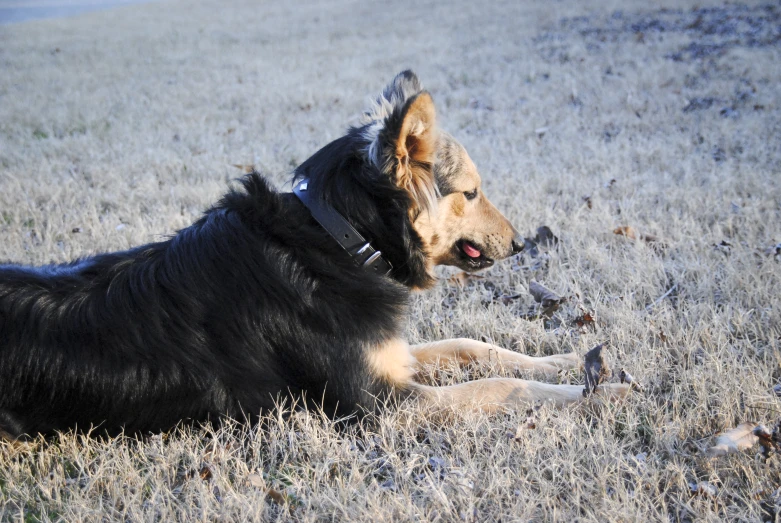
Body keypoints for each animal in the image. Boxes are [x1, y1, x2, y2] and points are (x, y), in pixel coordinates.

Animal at [0, 68, 628, 438]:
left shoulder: (387, 355)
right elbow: (500, 385)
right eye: (471, 193)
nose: (523, 242)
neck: (341, 239)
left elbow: (474, 347)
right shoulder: (376, 404)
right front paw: (599, 395)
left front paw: (570, 361)